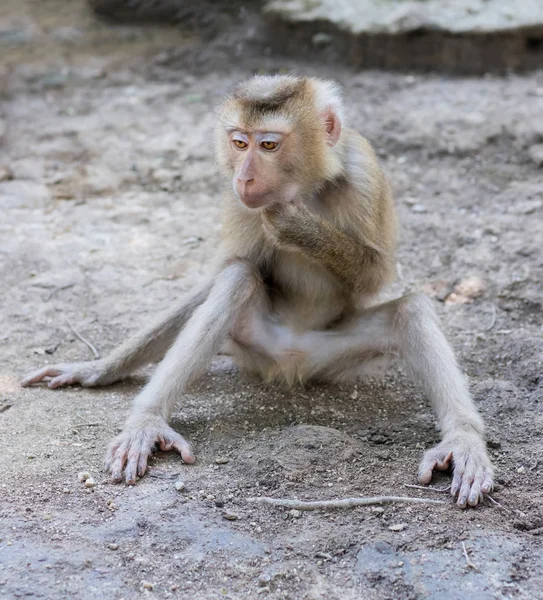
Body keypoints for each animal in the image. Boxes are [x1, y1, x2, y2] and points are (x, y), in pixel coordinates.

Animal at [23, 74, 496, 506]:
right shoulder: (239, 204)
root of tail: (290, 363)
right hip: (255, 346)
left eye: (268, 145)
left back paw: (463, 442)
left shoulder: (364, 176)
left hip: (333, 359)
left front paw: (298, 227)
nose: (245, 178)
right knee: (237, 280)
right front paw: (99, 367)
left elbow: (375, 274)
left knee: (411, 310)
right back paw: (147, 423)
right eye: (238, 143)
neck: (308, 187)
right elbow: (224, 273)